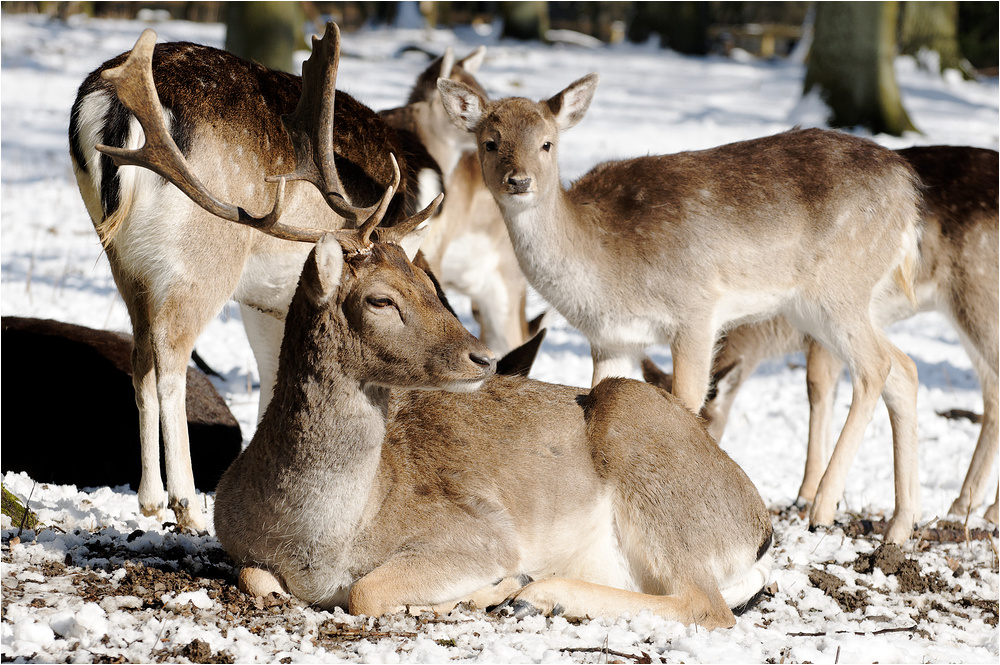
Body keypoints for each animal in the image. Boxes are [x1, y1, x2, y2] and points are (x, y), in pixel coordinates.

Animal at [66, 23, 434, 532]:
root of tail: (113, 111)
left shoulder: (265, 302)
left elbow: (273, 373)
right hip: (203, 259)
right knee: (170, 357)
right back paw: (186, 506)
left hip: (125, 259)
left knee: (140, 356)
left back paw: (150, 499)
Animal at [442, 74, 924, 544]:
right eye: (490, 141)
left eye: (547, 142)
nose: (519, 180)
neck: (602, 264)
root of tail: (909, 191)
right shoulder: (611, 338)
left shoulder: (696, 307)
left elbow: (688, 400)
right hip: (821, 304)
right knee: (904, 367)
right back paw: (898, 530)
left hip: (839, 288)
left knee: (876, 366)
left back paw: (822, 510)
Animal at [640, 145, 1000, 524]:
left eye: (704, 426)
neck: (769, 332)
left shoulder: (817, 333)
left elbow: (817, 389)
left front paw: (806, 495)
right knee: (991, 394)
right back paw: (963, 504)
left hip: (978, 295)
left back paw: (988, 510)